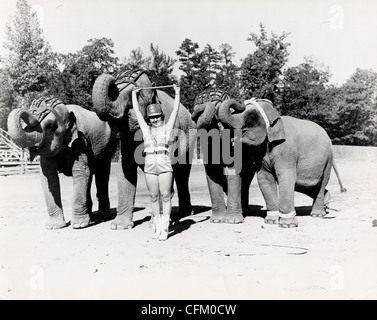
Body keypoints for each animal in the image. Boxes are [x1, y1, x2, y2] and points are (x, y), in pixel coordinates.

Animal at [7, 96, 117, 229]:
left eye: (49, 126)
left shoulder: (80, 142)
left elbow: (80, 172)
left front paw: (79, 225)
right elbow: (48, 178)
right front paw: (53, 226)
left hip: (108, 146)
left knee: (102, 175)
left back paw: (102, 217)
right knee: (90, 176)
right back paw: (90, 216)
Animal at [92, 70, 195, 230]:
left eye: (130, 96)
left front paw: (156, 223)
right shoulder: (127, 139)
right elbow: (125, 168)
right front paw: (119, 226)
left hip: (190, 138)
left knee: (182, 174)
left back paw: (184, 213)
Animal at [191, 90, 256, 224]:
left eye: (217, 118)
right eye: (196, 116)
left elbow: (233, 172)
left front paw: (234, 221)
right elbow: (212, 172)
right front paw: (216, 220)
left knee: (246, 181)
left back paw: (244, 212)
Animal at [216, 97, 346, 228]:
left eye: (252, 115)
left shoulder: (286, 150)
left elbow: (286, 177)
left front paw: (287, 225)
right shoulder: (261, 154)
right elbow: (265, 179)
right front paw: (271, 221)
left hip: (328, 159)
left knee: (322, 182)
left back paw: (317, 214)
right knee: (305, 185)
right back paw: (326, 202)